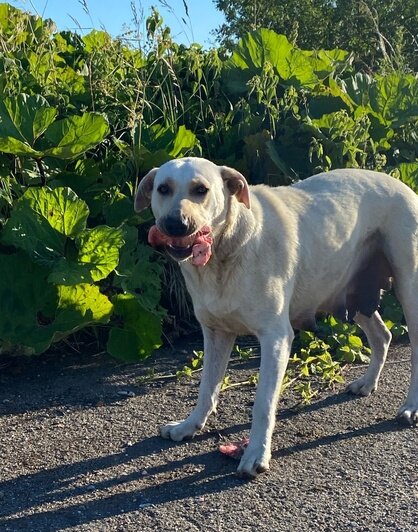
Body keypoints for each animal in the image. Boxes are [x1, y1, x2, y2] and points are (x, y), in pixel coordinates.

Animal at [135, 156, 418, 476]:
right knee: (382, 335)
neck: (226, 250)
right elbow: (207, 388)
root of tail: (399, 183)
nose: (175, 224)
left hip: (409, 287)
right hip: (350, 292)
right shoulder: (216, 334)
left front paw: (257, 453)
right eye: (163, 189)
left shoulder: (275, 339)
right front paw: (189, 426)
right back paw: (367, 383)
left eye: (201, 190)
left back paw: (410, 407)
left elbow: (263, 403)